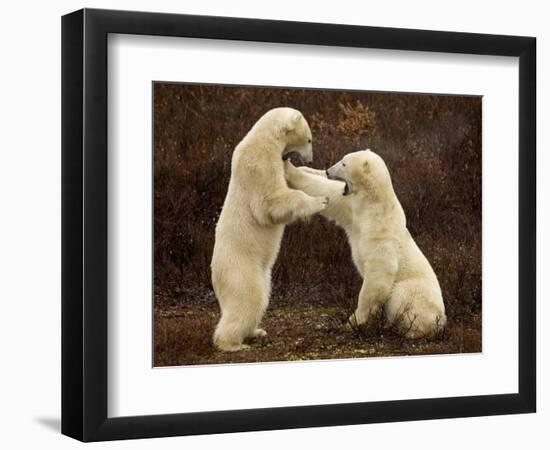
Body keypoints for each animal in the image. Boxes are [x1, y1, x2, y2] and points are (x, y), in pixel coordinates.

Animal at [211, 106, 328, 352]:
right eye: (309, 139)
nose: (311, 158)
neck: (264, 138)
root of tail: (216, 276)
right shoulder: (259, 163)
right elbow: (269, 202)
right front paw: (320, 200)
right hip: (241, 270)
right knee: (248, 299)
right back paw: (232, 344)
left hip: (265, 276)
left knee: (263, 298)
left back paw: (256, 331)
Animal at [284, 149, 448, 340]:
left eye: (344, 163)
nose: (328, 170)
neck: (373, 205)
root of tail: (441, 321)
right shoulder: (352, 209)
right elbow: (327, 191)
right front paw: (292, 166)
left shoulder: (380, 232)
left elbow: (378, 277)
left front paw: (354, 321)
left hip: (418, 294)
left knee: (401, 296)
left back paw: (403, 329)